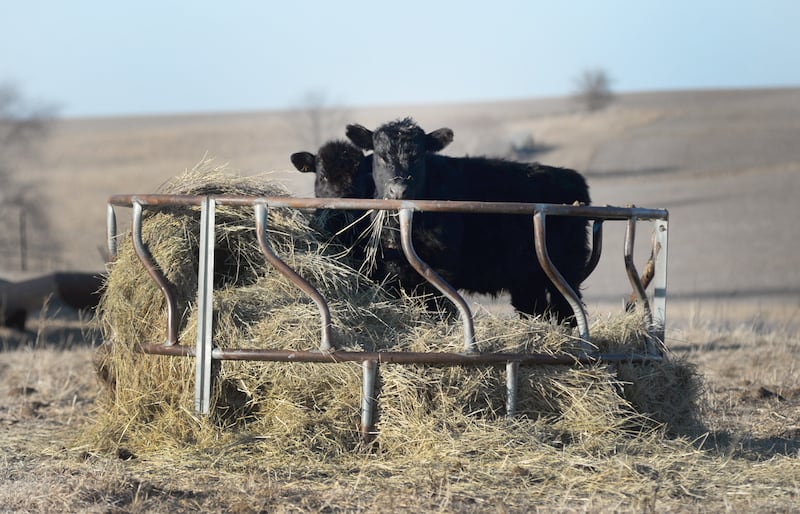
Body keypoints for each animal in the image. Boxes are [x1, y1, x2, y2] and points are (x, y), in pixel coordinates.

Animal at [346, 117, 591, 323]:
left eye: (418, 155)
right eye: (381, 155)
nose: (399, 190)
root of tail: (572, 177)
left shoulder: (442, 266)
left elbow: (438, 308)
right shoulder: (392, 270)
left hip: (566, 268)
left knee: (568, 310)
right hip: (528, 277)